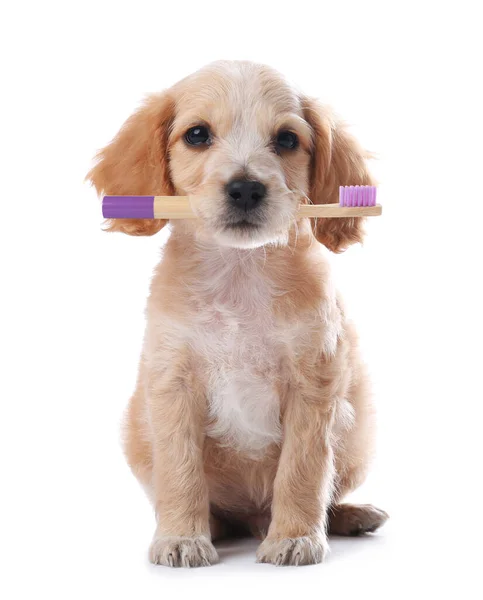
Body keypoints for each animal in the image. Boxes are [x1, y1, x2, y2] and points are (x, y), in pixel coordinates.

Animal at [88, 61, 390, 568]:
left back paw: (348, 516)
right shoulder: (173, 384)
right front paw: (182, 536)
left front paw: (294, 537)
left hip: (358, 431)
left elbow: (303, 470)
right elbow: (181, 471)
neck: (239, 272)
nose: (246, 188)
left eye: (287, 139)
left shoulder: (314, 385)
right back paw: (210, 525)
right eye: (197, 134)